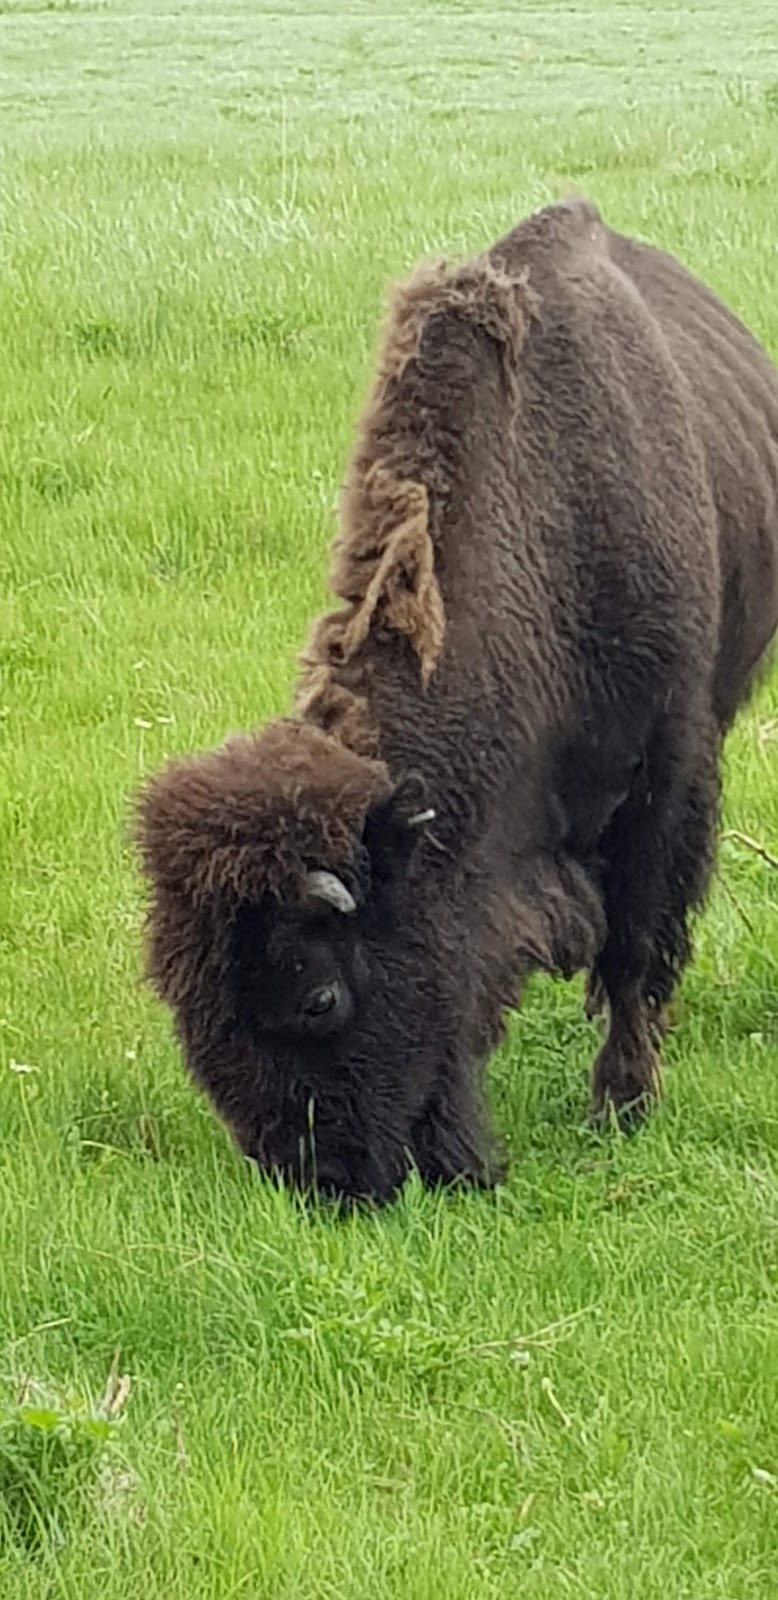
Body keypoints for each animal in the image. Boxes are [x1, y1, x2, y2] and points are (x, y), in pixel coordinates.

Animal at [136, 203, 778, 1203]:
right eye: (189, 1006)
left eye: (318, 994)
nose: (325, 1182)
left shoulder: (671, 771)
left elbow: (638, 943)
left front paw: (622, 1106)